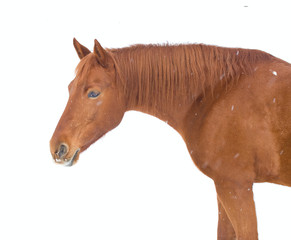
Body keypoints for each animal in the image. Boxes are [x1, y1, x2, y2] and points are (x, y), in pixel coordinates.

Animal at [49, 38, 291, 239]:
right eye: (70, 88)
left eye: (93, 93)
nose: (57, 148)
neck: (219, 93)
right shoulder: (224, 186)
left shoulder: (235, 186)